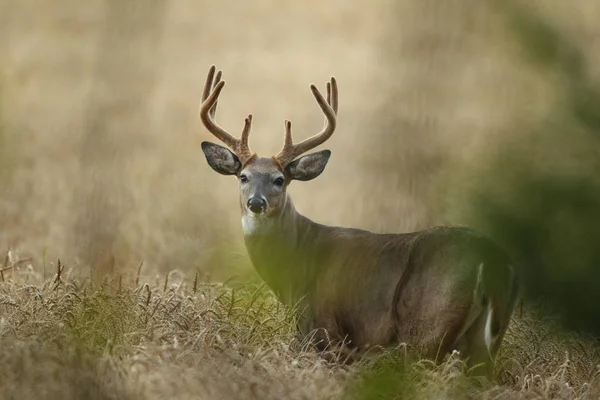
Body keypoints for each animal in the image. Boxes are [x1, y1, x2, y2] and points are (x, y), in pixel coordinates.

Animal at [198, 65, 520, 376]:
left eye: (279, 180)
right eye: (243, 176)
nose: (256, 203)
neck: (298, 263)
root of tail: (493, 262)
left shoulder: (325, 331)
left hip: (429, 326)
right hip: (484, 340)